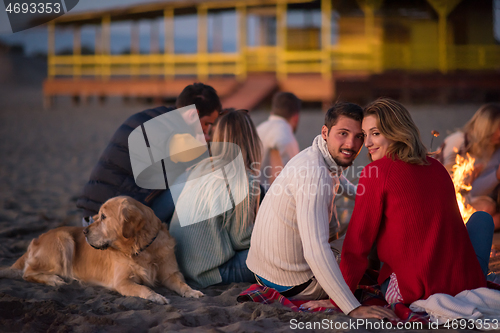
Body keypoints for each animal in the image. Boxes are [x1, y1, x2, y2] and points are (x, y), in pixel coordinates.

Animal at [0, 196, 203, 302]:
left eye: (103, 217)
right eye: (97, 216)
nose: (84, 232)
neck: (142, 249)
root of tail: (36, 240)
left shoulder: (171, 273)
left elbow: (182, 284)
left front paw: (192, 292)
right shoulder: (122, 282)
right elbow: (144, 289)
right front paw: (156, 296)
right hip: (63, 240)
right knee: (27, 272)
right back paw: (54, 280)